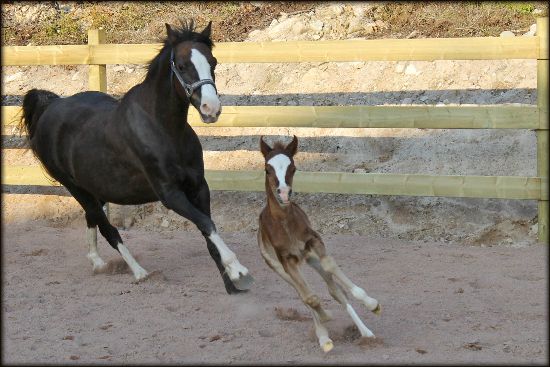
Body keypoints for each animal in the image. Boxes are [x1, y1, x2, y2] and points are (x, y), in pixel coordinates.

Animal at [20, 20, 254, 294]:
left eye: (213, 61)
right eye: (182, 66)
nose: (211, 109)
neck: (164, 130)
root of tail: (50, 107)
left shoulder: (199, 187)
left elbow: (208, 231)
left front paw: (231, 284)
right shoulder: (170, 195)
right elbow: (207, 225)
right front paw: (239, 271)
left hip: (95, 188)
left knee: (93, 219)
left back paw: (98, 263)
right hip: (76, 188)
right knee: (107, 228)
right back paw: (139, 272)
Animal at [258, 136, 380, 354]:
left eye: (293, 168)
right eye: (267, 169)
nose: (284, 193)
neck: (284, 224)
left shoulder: (313, 240)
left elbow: (330, 266)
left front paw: (371, 303)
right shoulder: (286, 260)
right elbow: (309, 298)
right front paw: (324, 324)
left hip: (310, 258)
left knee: (335, 290)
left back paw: (365, 332)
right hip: (279, 268)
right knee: (303, 295)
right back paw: (324, 335)